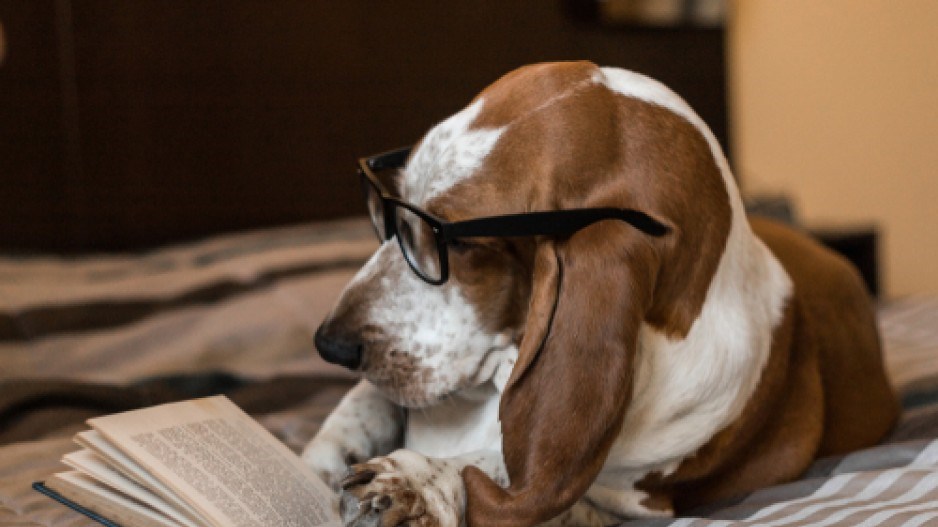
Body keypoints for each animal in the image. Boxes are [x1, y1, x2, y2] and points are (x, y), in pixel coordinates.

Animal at [304, 63, 896, 527]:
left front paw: (420, 482)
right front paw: (314, 463)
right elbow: (363, 407)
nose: (330, 345)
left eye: (462, 242)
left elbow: (509, 474)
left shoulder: (633, 500)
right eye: (389, 211)